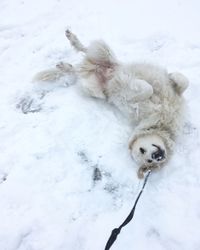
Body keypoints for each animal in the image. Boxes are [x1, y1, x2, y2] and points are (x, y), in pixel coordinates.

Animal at [33, 29, 188, 178]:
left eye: (151, 161)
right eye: (142, 151)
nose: (157, 156)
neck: (161, 124)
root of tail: (89, 68)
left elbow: (183, 81)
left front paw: (171, 77)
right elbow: (148, 88)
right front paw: (142, 87)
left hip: (94, 76)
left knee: (80, 64)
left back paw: (66, 64)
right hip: (100, 65)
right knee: (87, 53)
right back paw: (70, 47)